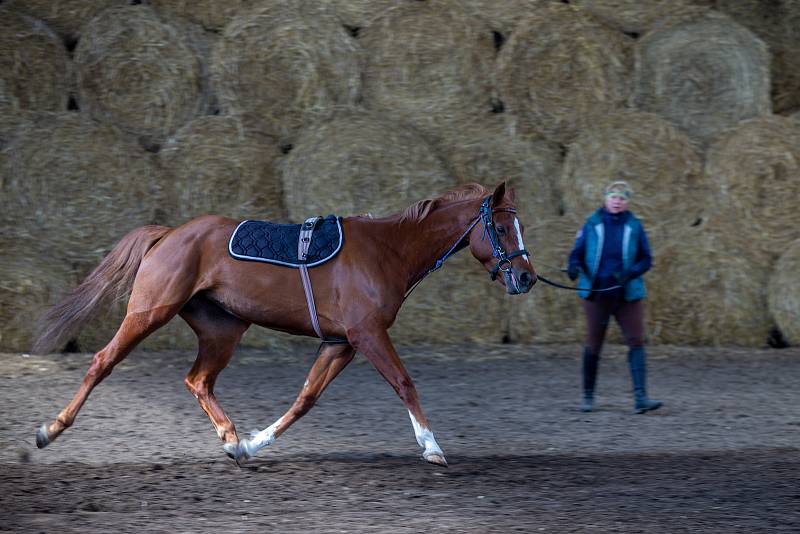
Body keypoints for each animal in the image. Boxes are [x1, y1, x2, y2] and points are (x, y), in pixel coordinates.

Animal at [32, 182, 536, 466]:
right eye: (502, 228)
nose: (527, 277)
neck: (386, 250)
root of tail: (169, 234)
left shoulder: (340, 343)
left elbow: (304, 399)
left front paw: (252, 445)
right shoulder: (367, 334)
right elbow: (404, 383)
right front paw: (431, 447)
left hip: (223, 330)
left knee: (198, 380)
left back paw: (230, 436)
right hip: (149, 312)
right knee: (103, 361)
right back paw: (49, 430)